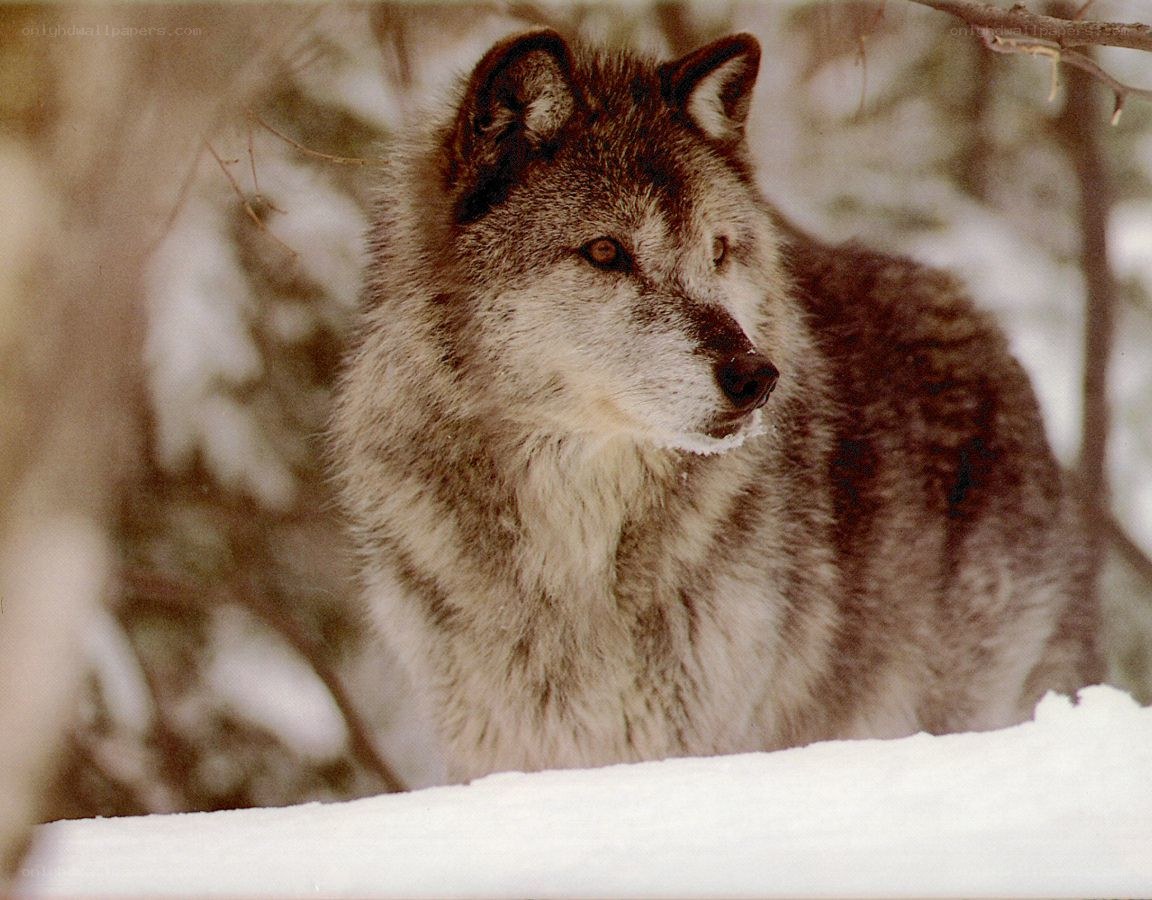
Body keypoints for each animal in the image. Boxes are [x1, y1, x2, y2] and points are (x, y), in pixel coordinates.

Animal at [331, 29, 1101, 784]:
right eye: (606, 252)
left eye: (719, 251)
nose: (756, 377)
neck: (574, 550)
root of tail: (984, 324)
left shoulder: (696, 740)